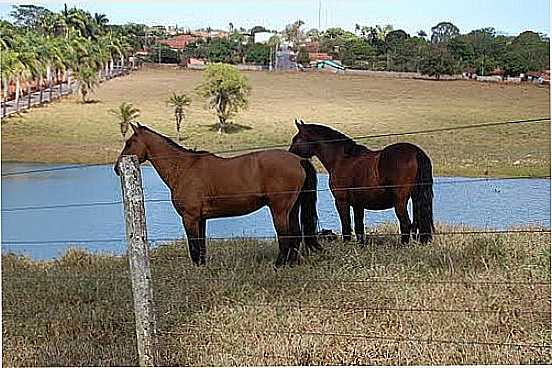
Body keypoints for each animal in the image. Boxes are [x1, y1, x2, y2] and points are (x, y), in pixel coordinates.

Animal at [115, 123, 322, 268]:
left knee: (285, 237)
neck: (184, 168)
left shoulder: (190, 218)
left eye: (129, 143)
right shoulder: (201, 219)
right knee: (295, 235)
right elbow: (201, 247)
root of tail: (299, 160)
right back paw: (291, 264)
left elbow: (194, 247)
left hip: (279, 210)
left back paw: (278, 265)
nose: (117, 168)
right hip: (292, 209)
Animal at [286, 121, 434, 246]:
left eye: (296, 139)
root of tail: (415, 152)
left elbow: (346, 225)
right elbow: (359, 227)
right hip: (415, 198)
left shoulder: (341, 201)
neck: (342, 159)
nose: (289, 156)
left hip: (400, 202)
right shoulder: (358, 204)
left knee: (406, 223)